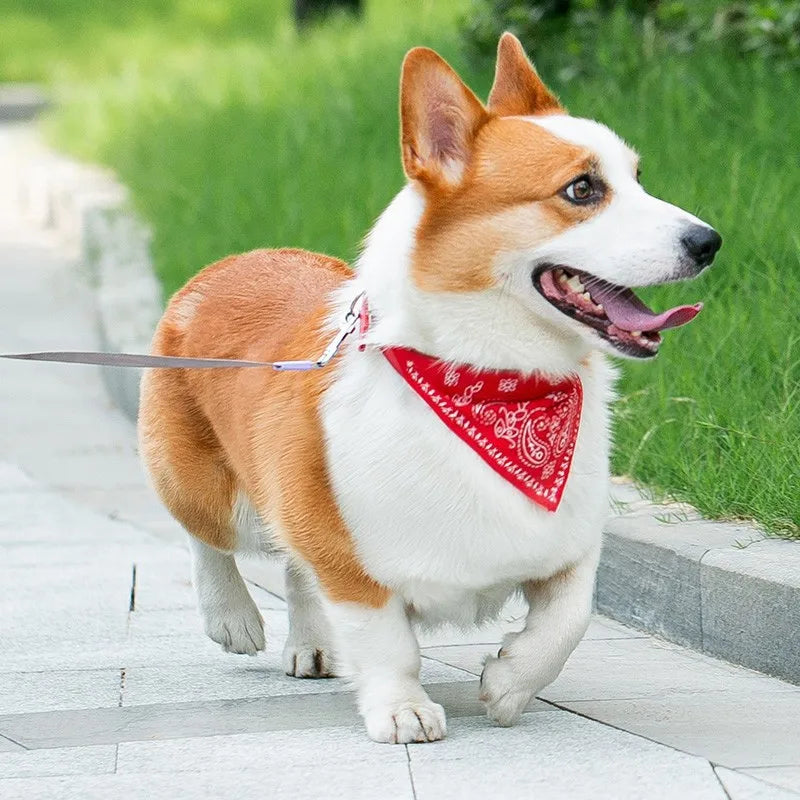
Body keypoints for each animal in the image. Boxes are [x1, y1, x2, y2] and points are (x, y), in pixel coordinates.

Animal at [139, 32, 724, 744]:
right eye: (582, 189)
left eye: (638, 178)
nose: (710, 242)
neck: (490, 380)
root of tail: (228, 263)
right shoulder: (351, 562)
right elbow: (388, 642)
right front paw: (403, 711)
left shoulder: (569, 547)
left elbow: (569, 618)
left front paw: (507, 685)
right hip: (222, 494)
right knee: (205, 536)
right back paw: (231, 617)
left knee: (295, 570)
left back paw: (311, 646)